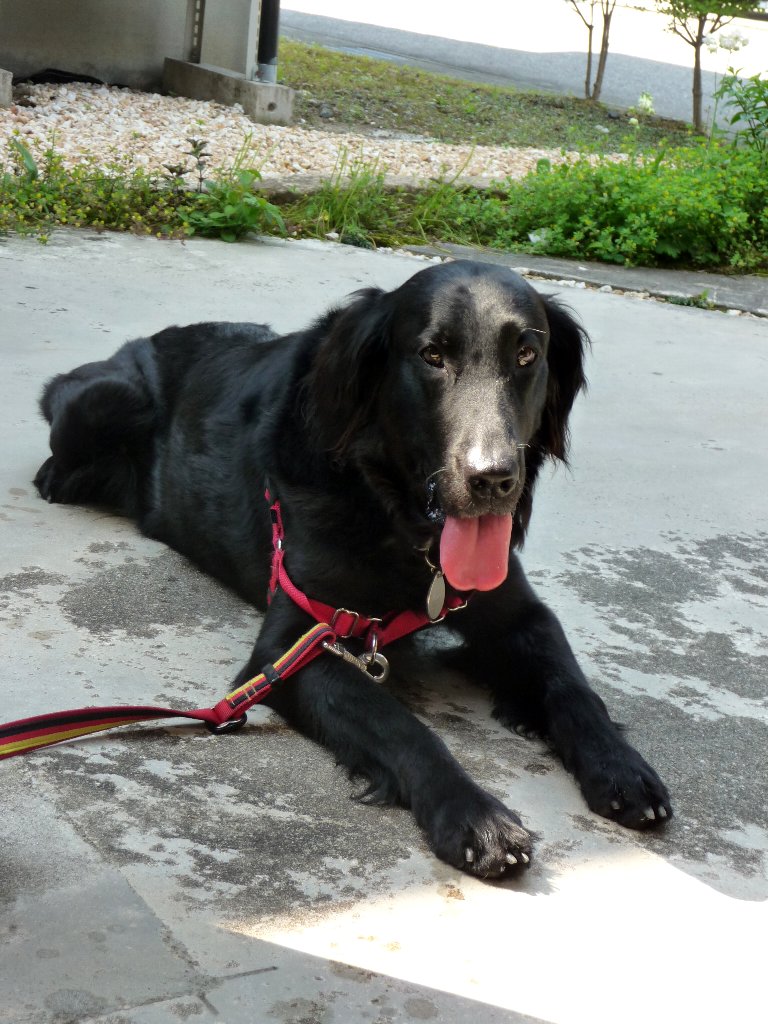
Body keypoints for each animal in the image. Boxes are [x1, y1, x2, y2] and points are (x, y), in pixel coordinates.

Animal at [34, 259, 672, 878]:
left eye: (526, 355)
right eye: (432, 355)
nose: (493, 479)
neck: (397, 520)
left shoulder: (520, 612)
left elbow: (574, 687)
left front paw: (620, 766)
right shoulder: (295, 647)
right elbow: (402, 725)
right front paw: (474, 816)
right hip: (108, 400)